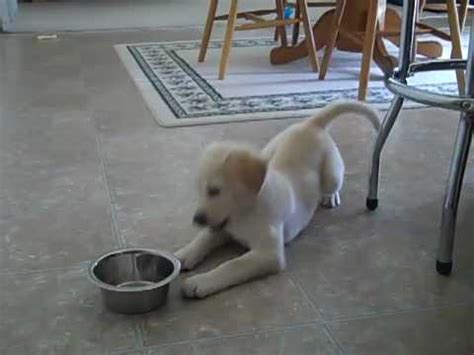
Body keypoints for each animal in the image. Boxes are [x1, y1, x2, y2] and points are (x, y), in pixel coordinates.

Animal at [176, 100, 380, 298]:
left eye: (214, 191)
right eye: (199, 190)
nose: (197, 220)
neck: (246, 212)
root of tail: (311, 124)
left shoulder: (269, 255)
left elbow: (232, 265)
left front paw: (199, 282)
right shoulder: (224, 227)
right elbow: (205, 237)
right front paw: (184, 254)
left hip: (332, 174)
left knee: (334, 184)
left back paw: (330, 197)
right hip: (270, 147)